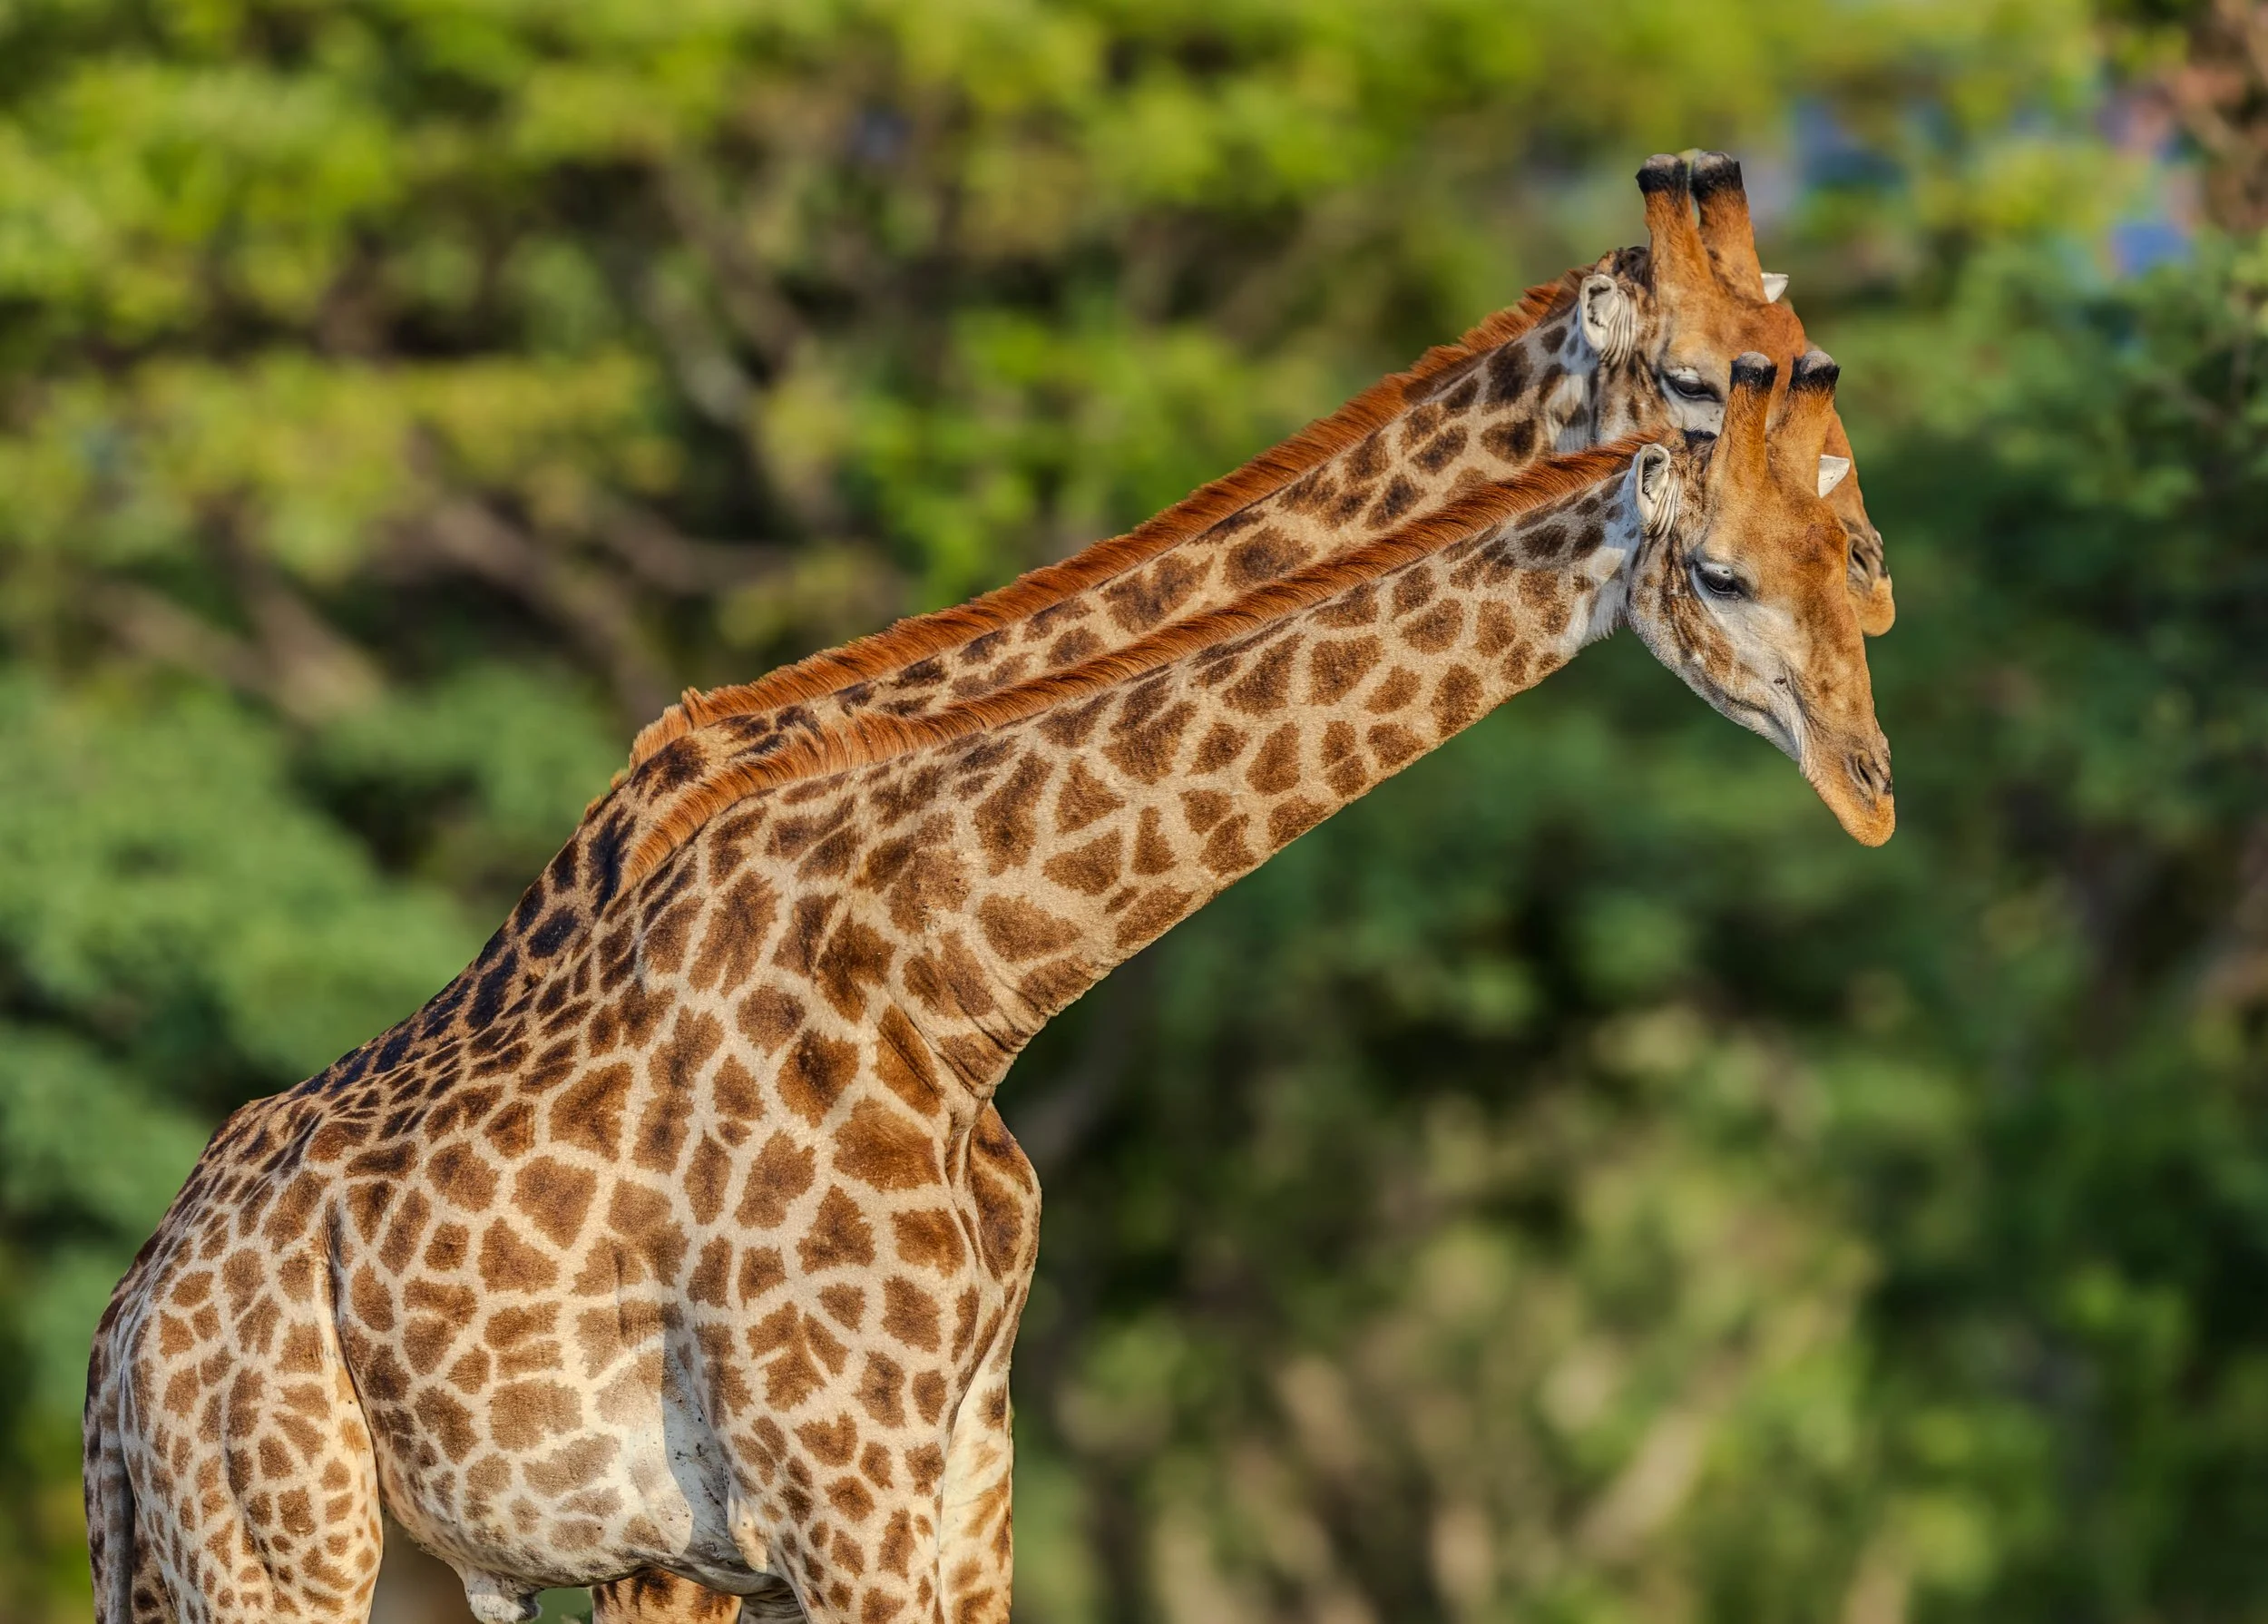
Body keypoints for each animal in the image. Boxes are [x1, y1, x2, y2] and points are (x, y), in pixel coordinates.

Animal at [85, 347, 1888, 1624]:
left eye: (1852, 544)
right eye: (1725, 574)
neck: (958, 979)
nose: (1869, 784)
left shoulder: (948, 1480)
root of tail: (127, 1324)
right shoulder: (821, 1503)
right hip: (278, 1537)